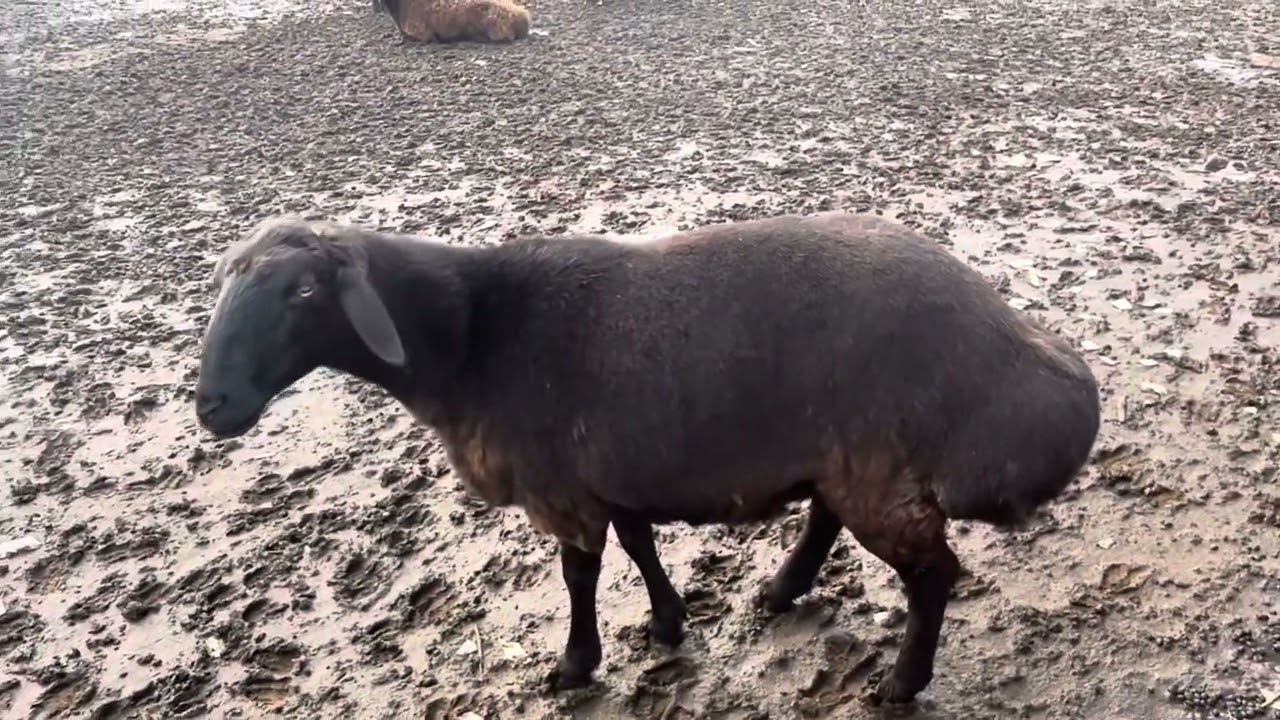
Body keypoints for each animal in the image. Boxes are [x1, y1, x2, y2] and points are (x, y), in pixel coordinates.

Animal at [193, 212, 1101, 705]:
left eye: (302, 292)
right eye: (224, 282)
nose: (213, 407)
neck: (471, 341)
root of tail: (1022, 353)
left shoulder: (561, 492)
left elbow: (580, 575)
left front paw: (575, 663)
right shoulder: (610, 473)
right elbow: (637, 544)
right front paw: (668, 621)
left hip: (880, 458)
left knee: (932, 574)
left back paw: (901, 683)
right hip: (849, 450)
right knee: (828, 512)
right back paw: (781, 589)